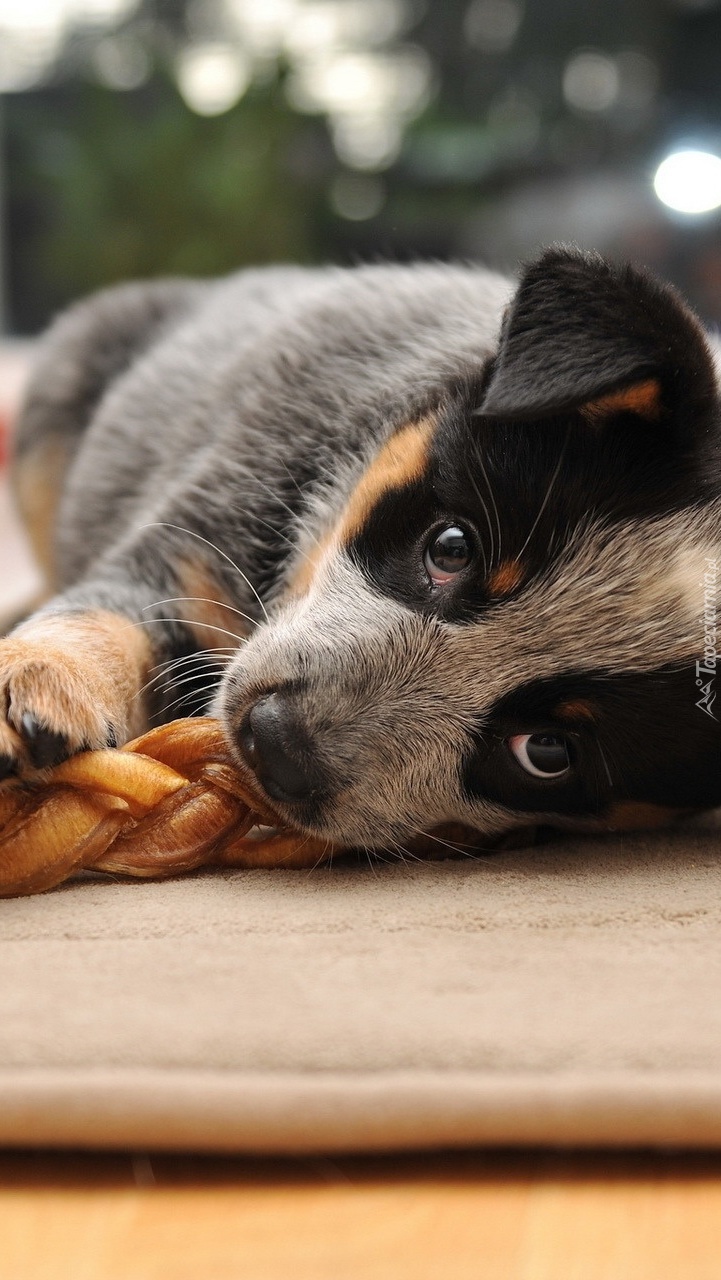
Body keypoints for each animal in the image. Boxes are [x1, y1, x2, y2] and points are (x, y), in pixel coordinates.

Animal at [4, 243, 721, 865]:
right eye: (451, 547)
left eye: (546, 752)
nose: (274, 743)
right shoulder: (185, 557)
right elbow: (102, 617)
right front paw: (39, 674)